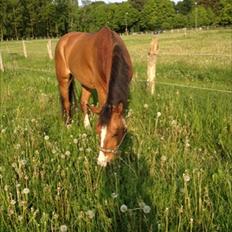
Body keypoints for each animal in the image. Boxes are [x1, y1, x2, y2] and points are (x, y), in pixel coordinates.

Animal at [54, 27, 133, 167]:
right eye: (98, 132)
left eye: (115, 133)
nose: (102, 162)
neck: (109, 47)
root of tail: (63, 40)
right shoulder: (101, 88)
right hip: (63, 79)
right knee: (67, 103)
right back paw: (68, 126)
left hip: (86, 84)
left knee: (83, 103)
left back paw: (86, 126)